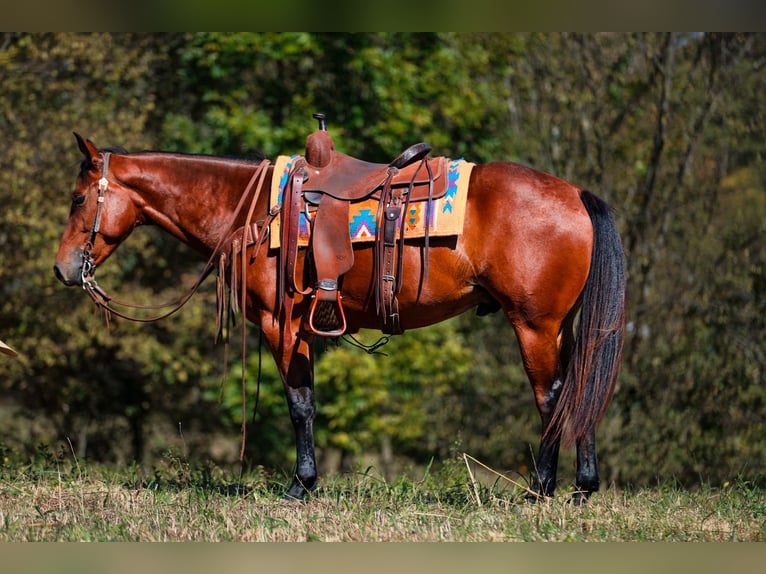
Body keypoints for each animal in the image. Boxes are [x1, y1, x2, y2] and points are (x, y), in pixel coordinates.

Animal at [54, 131, 626, 503]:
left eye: (78, 198)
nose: (63, 268)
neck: (252, 211)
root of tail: (576, 194)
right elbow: (306, 402)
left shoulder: (280, 323)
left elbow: (300, 404)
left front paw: (300, 486)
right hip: (564, 328)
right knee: (581, 389)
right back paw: (582, 488)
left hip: (535, 325)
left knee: (552, 397)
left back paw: (541, 489)